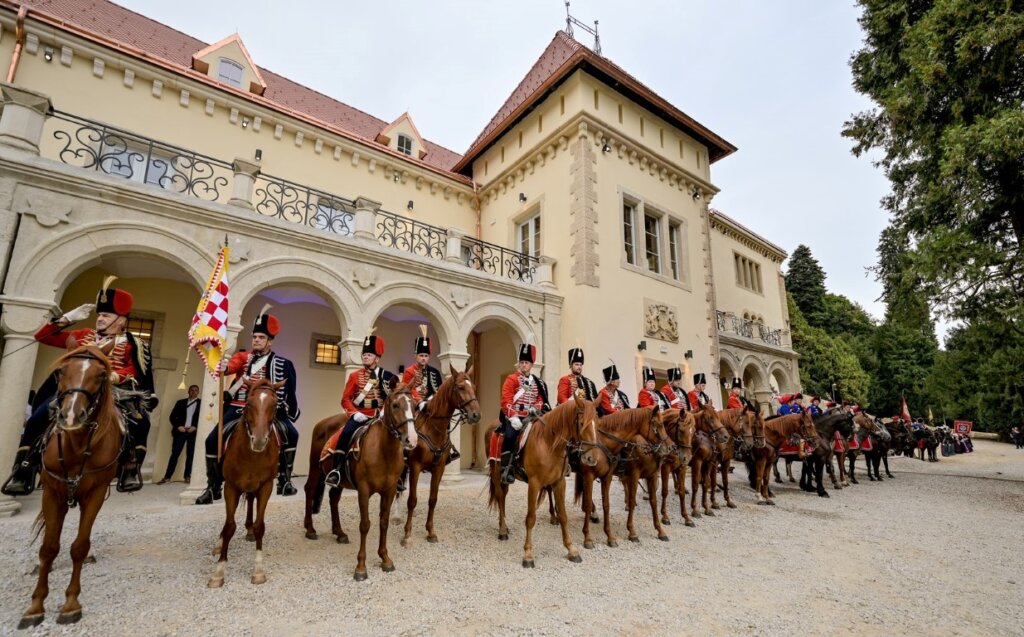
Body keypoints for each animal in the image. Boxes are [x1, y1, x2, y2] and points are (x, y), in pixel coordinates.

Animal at [18, 344, 121, 630]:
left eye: (101, 375)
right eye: (61, 371)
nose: (71, 415)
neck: (76, 444)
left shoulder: (97, 491)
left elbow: (79, 545)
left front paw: (70, 604)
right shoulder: (52, 491)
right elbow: (49, 547)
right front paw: (35, 607)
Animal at [317, 380, 417, 581]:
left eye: (415, 406)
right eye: (395, 405)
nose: (412, 439)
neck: (383, 451)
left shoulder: (390, 490)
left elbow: (384, 522)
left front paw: (385, 559)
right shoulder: (363, 490)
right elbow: (365, 525)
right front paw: (361, 567)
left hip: (339, 483)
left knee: (333, 499)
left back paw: (339, 533)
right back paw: (310, 531)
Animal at [399, 368, 479, 548]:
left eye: (473, 387)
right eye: (461, 387)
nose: (476, 415)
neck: (433, 428)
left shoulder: (439, 468)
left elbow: (433, 499)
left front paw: (430, 532)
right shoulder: (415, 467)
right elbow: (412, 500)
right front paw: (407, 534)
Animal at [487, 399, 598, 569]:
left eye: (595, 424)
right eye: (581, 423)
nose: (592, 458)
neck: (548, 443)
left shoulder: (559, 483)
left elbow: (563, 516)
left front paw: (571, 549)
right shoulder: (534, 484)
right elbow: (530, 518)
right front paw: (528, 555)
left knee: (503, 497)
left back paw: (504, 527)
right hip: (495, 472)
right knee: (500, 497)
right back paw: (502, 531)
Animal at [573, 409, 667, 548]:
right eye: (658, 424)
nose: (668, 448)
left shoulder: (652, 476)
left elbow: (653, 502)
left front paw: (660, 531)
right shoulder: (633, 475)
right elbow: (632, 501)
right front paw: (632, 532)